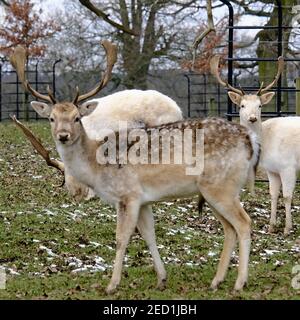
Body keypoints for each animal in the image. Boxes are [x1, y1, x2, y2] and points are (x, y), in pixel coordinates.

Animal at [11, 42, 260, 292]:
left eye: (77, 118)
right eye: (51, 118)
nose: (63, 136)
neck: (96, 167)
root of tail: (250, 140)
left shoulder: (127, 195)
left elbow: (122, 238)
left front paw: (112, 285)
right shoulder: (143, 200)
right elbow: (149, 234)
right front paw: (161, 279)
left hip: (221, 187)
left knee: (244, 223)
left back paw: (239, 282)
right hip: (214, 191)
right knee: (229, 229)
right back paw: (216, 281)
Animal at [210, 55, 296, 235]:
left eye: (260, 105)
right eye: (242, 105)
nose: (252, 118)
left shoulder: (288, 166)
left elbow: (287, 196)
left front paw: (287, 228)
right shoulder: (272, 169)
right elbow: (273, 194)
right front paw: (271, 227)